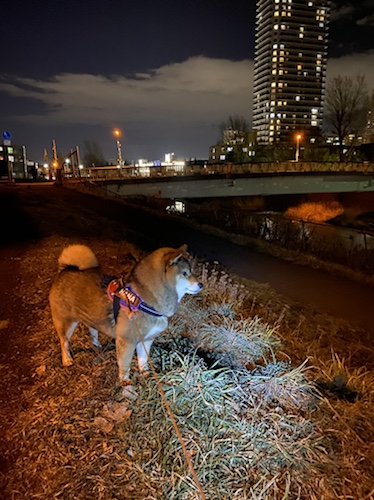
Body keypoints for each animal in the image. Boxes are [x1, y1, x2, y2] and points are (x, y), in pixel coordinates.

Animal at [49, 244, 203, 380]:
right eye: (185, 273)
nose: (201, 284)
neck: (144, 299)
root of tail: (65, 270)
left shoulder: (146, 339)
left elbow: (143, 361)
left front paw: (146, 375)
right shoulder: (127, 341)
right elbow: (125, 366)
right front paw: (125, 384)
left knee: (92, 328)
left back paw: (96, 344)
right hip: (67, 323)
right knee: (64, 342)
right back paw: (67, 359)